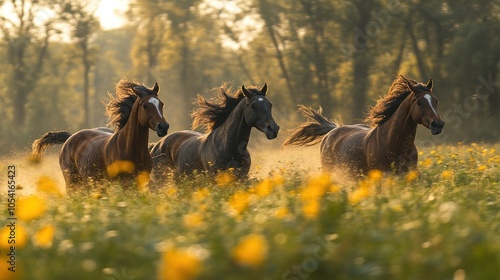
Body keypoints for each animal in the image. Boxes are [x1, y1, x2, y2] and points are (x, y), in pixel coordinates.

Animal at [33, 77, 170, 189]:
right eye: (145, 106)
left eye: (162, 104)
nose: (163, 127)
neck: (130, 149)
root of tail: (71, 137)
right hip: (73, 183)